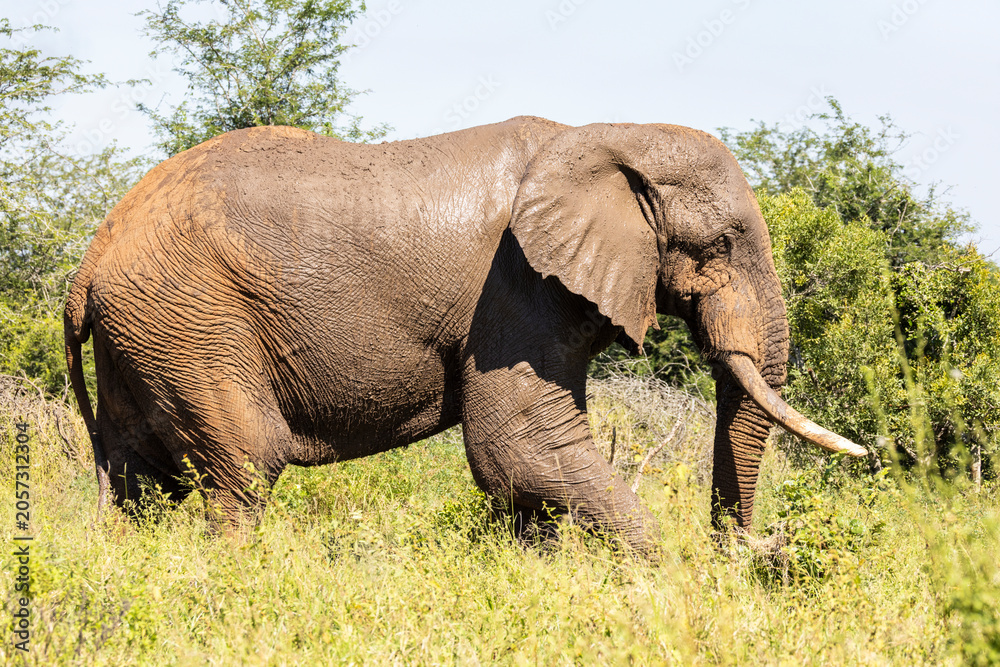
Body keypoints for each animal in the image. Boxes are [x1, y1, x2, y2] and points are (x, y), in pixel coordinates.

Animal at [64, 116, 865, 553]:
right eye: (722, 244)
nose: (758, 548)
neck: (607, 134)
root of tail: (93, 255)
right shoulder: (515, 289)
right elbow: (518, 445)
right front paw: (660, 574)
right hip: (192, 319)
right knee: (244, 464)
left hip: (147, 332)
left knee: (137, 474)